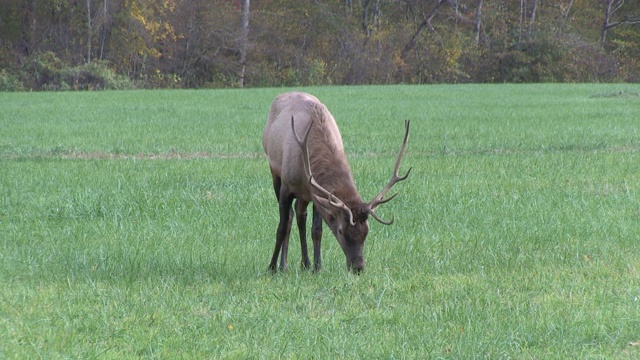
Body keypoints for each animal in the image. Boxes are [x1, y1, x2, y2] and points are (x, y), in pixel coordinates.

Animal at [262, 92, 412, 272]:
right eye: (341, 231)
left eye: (366, 231)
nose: (358, 267)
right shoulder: (286, 186)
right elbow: (282, 228)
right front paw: (271, 267)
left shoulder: (317, 193)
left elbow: (317, 230)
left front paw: (317, 267)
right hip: (275, 172)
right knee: (291, 217)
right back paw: (283, 265)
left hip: (304, 195)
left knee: (300, 215)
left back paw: (305, 263)